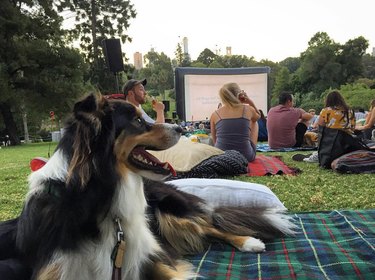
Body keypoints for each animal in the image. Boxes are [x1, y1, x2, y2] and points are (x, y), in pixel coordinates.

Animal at [0, 93, 296, 278]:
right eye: (138, 121)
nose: (180, 127)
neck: (95, 200)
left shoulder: (148, 258)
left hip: (172, 213)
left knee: (213, 227)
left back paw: (249, 242)